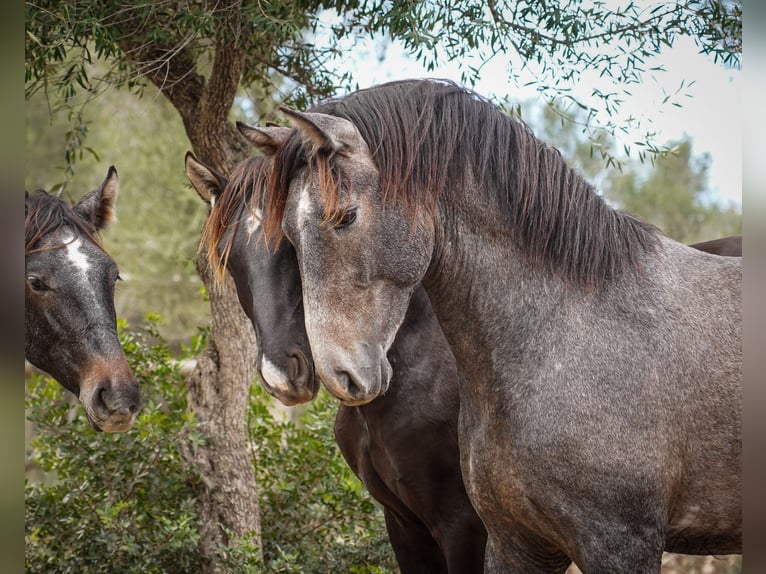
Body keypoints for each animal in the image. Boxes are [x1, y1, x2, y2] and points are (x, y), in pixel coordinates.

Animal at [268, 80, 740, 574]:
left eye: (346, 216)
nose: (340, 376)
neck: (565, 331)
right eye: (289, 236)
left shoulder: (620, 542)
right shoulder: (516, 540)